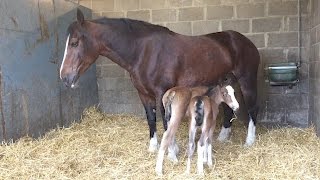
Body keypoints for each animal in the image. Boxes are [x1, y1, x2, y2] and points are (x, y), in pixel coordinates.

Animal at [59, 9, 260, 152]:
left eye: (74, 42)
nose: (64, 77)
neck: (143, 52)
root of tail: (246, 41)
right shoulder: (144, 94)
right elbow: (151, 119)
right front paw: (153, 148)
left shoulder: (162, 92)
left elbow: (166, 121)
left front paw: (171, 150)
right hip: (225, 81)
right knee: (228, 108)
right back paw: (223, 138)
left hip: (247, 82)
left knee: (252, 108)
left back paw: (250, 141)